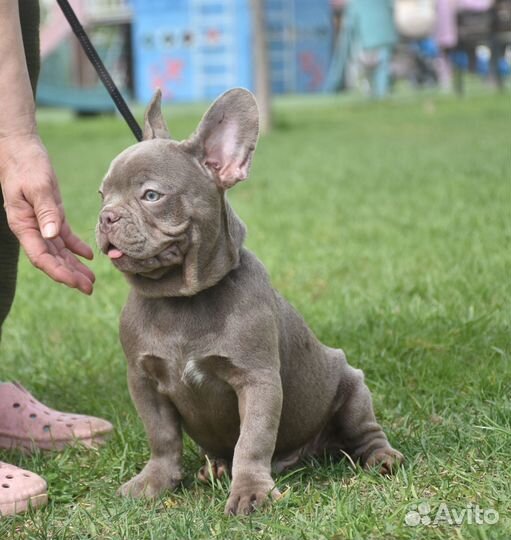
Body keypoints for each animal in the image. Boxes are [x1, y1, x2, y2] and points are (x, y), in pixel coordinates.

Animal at [96, 87, 404, 516]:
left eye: (151, 195)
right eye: (102, 194)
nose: (106, 216)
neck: (181, 299)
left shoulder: (256, 380)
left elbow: (252, 440)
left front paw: (250, 491)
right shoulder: (143, 381)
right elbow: (162, 437)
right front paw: (155, 481)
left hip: (352, 387)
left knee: (365, 432)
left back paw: (382, 457)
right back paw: (214, 468)